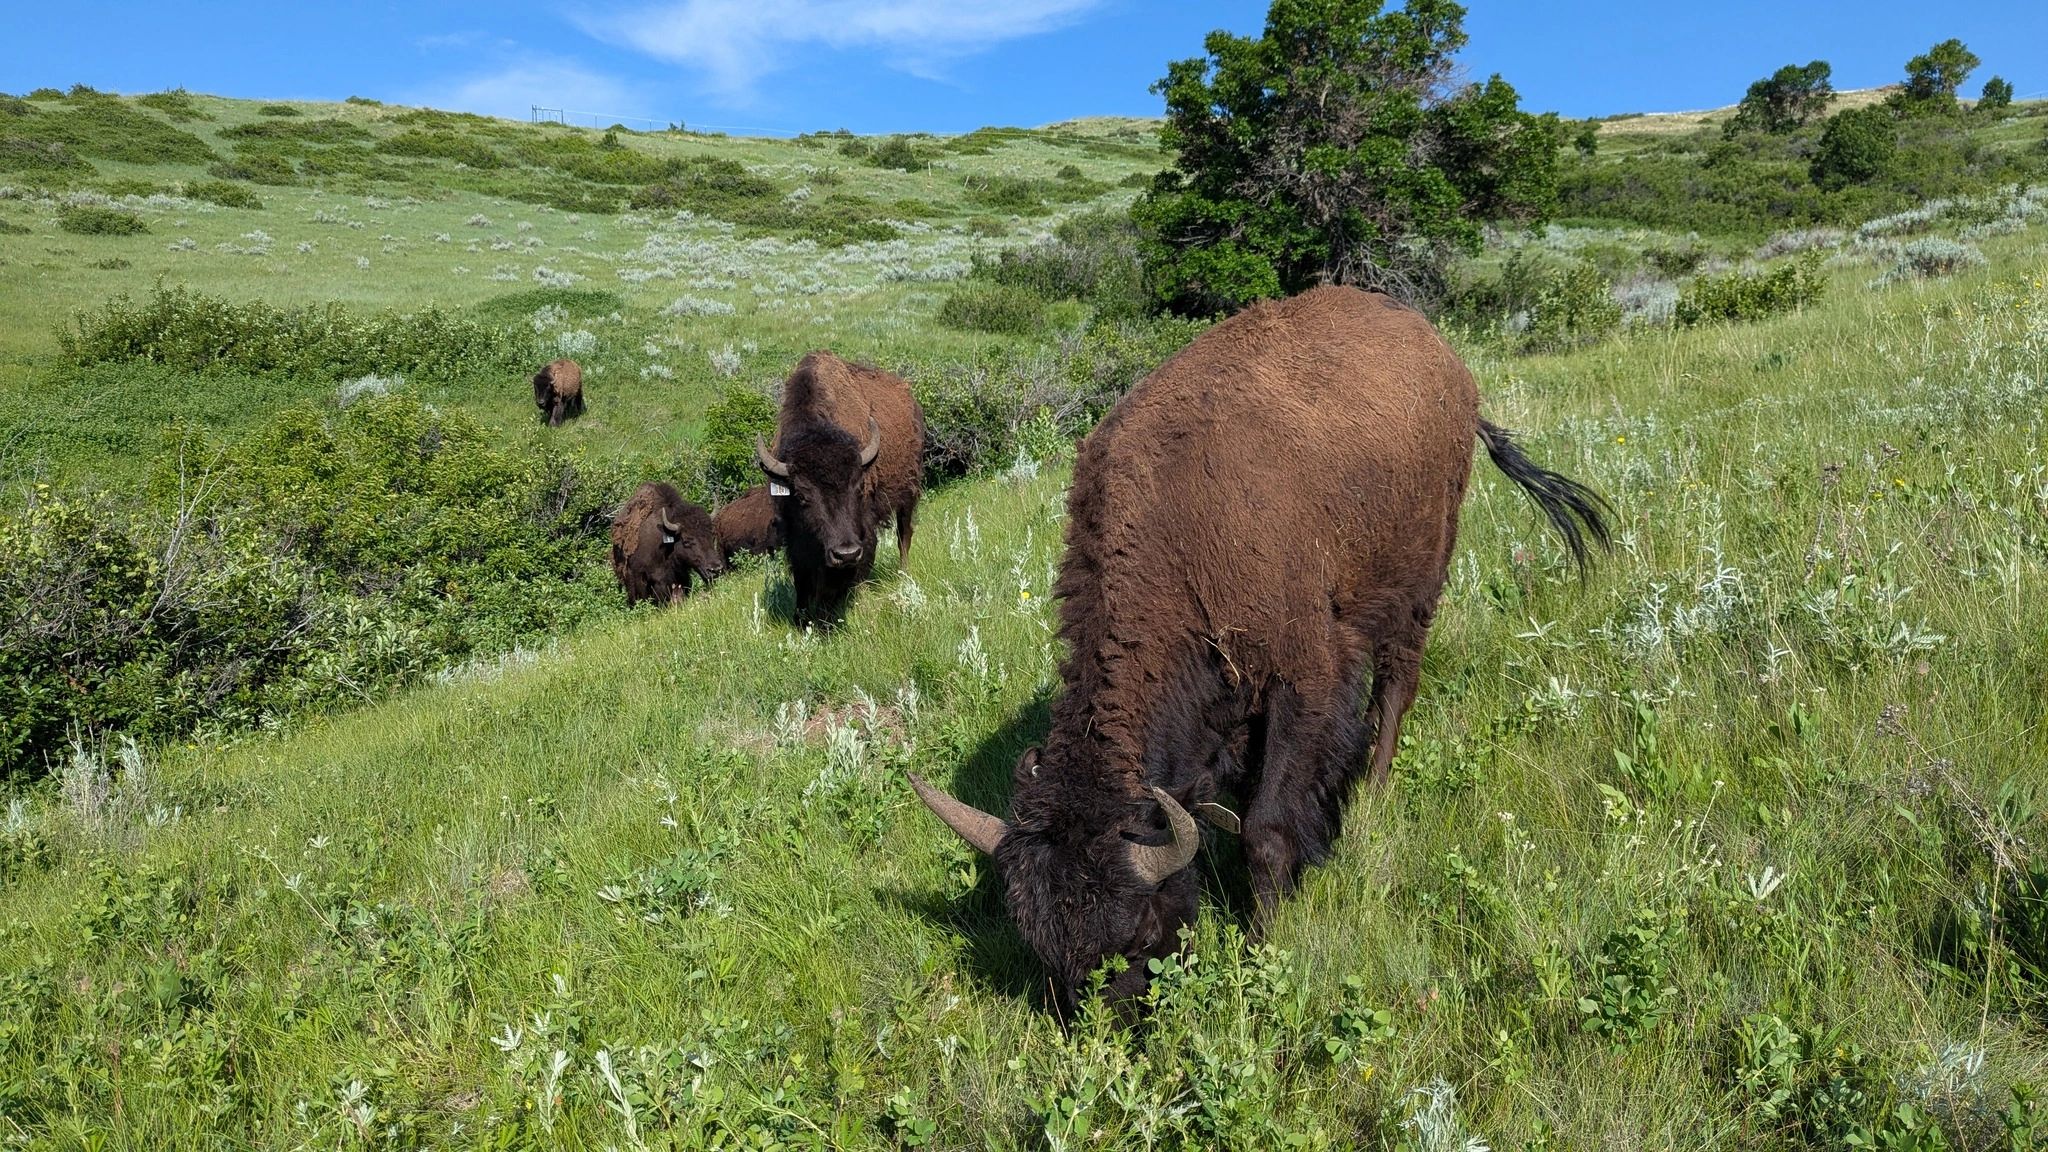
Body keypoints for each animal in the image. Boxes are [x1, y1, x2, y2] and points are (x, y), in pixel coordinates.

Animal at [755, 351, 925, 626]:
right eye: (801, 495)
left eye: (858, 488)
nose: (845, 554)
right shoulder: (795, 535)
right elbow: (801, 576)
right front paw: (802, 618)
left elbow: (863, 559)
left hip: (909, 494)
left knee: (904, 535)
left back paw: (903, 574)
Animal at [911, 285, 1610, 1016]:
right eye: (1040, 942)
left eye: (1141, 931)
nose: (1116, 1026)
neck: (1177, 539)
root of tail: (1445, 360)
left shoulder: (1304, 680)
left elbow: (1266, 831)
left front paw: (1262, 949)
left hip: (1419, 584)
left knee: (1396, 686)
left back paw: (1375, 792)